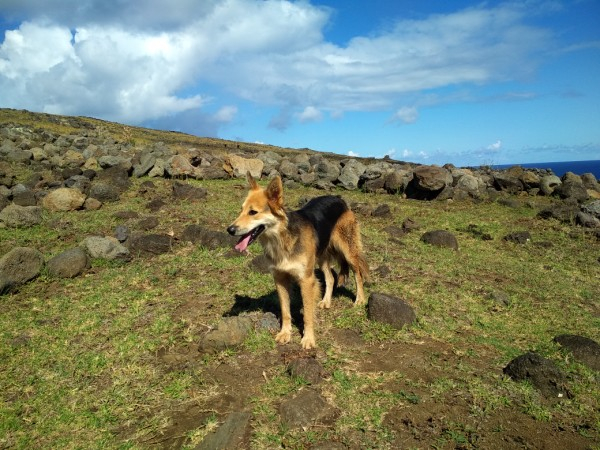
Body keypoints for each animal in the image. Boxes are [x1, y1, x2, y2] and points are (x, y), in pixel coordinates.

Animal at [227, 171, 368, 350]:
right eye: (241, 210)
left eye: (253, 212)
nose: (230, 229)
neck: (281, 240)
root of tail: (339, 199)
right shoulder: (280, 279)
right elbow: (285, 311)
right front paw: (285, 333)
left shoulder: (306, 280)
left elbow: (307, 314)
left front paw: (308, 338)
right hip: (321, 256)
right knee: (330, 277)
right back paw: (326, 301)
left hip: (348, 251)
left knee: (358, 273)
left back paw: (359, 299)